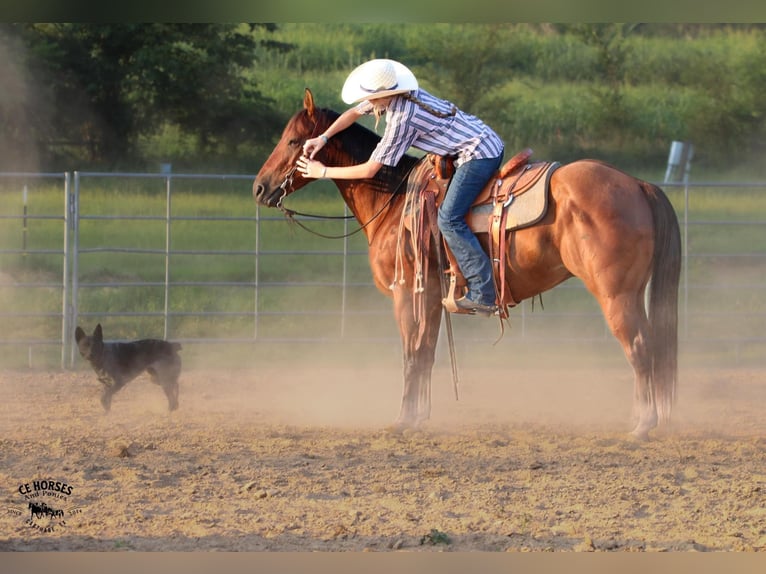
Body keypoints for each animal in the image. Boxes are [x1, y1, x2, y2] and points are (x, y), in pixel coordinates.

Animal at [254, 89, 684, 440]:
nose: (259, 187)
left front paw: (402, 420)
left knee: (640, 346)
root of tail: (638, 185)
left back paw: (642, 424)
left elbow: (411, 354)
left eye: (293, 140)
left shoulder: (406, 292)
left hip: (616, 294)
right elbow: (425, 353)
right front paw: (418, 418)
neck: (393, 200)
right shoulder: (429, 297)